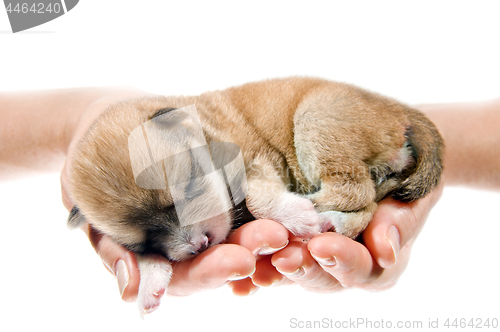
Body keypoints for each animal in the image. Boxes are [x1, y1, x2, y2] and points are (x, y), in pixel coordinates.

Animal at [68, 76, 444, 316]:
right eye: (141, 241)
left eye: (189, 187)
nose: (198, 246)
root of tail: (399, 109)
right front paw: (150, 284)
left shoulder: (257, 161)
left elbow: (255, 199)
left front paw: (296, 214)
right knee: (366, 201)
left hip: (316, 120)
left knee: (356, 193)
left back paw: (317, 211)